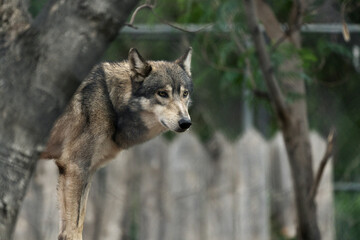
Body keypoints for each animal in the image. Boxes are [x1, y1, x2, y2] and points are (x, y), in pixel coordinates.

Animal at [40, 47, 193, 240]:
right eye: (162, 93)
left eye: (184, 94)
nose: (186, 122)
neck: (111, 101)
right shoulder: (75, 167)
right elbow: (73, 230)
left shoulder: (86, 171)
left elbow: (78, 224)